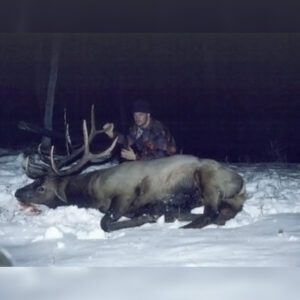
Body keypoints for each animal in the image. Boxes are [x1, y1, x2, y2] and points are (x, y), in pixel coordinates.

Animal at [14, 106, 246, 232]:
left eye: (41, 187)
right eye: (33, 181)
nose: (17, 192)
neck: (91, 190)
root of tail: (241, 184)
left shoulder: (125, 192)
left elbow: (105, 223)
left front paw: (145, 218)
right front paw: (151, 213)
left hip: (209, 178)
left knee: (212, 213)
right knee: (222, 212)